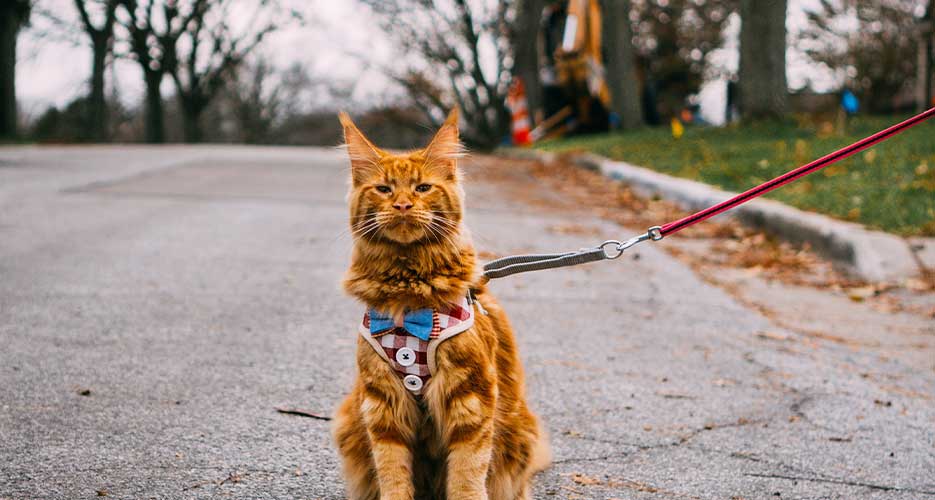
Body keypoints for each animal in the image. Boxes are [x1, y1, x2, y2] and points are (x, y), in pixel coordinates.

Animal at [332, 110, 548, 500]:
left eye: (422, 188)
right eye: (384, 189)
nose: (403, 205)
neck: (408, 291)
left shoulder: (471, 397)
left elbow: (466, 476)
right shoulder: (382, 404)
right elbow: (392, 475)